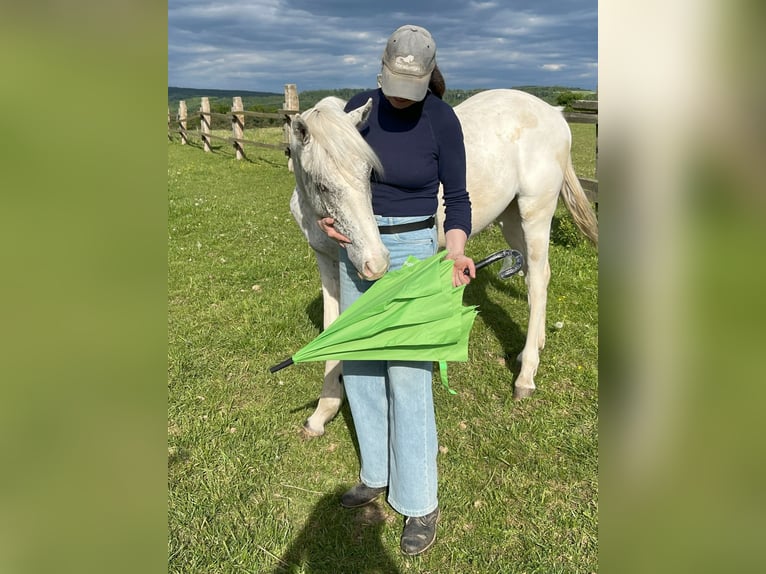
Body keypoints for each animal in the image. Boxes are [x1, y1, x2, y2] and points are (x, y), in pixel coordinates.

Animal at [287, 89, 598, 437]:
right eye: (322, 185)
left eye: (369, 175)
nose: (376, 263)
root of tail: (554, 114)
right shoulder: (327, 262)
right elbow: (333, 325)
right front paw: (322, 413)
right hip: (510, 218)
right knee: (535, 276)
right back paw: (534, 347)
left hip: (536, 213)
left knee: (540, 277)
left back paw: (526, 376)